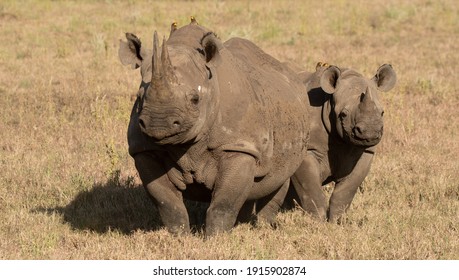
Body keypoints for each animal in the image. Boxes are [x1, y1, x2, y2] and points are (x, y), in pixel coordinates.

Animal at [118, 19, 310, 236]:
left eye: (195, 99)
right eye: (139, 97)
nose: (159, 124)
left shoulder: (238, 146)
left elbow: (224, 203)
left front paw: (216, 237)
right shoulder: (144, 149)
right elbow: (166, 201)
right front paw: (179, 236)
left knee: (279, 178)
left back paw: (263, 226)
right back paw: (243, 224)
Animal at [290, 62, 398, 222]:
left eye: (382, 112)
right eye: (343, 114)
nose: (370, 133)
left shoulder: (365, 151)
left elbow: (346, 190)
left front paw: (337, 221)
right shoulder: (307, 148)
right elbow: (310, 188)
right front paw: (318, 221)